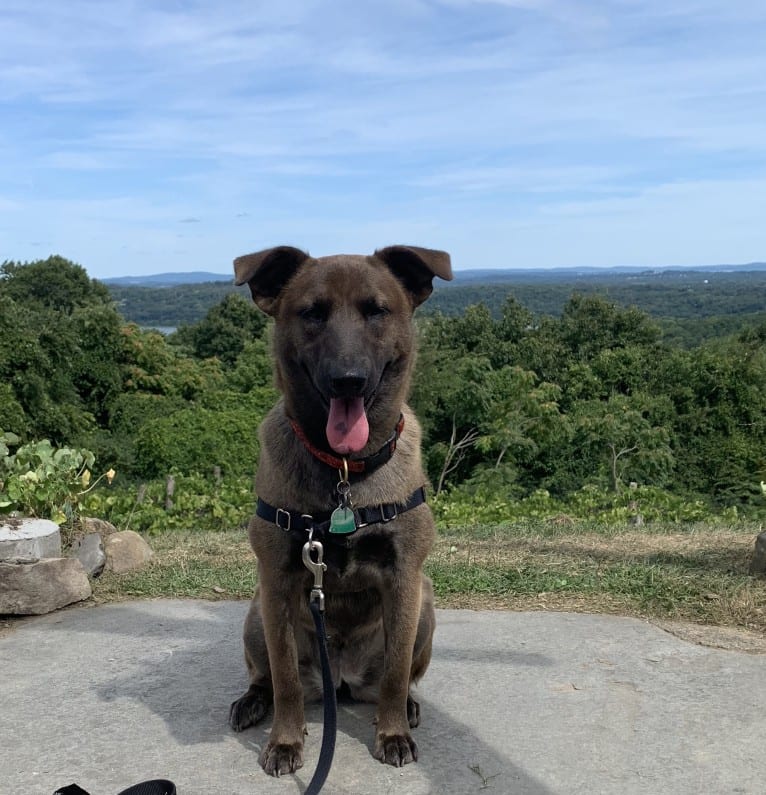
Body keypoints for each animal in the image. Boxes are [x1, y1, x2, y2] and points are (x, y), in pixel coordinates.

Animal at [231, 244, 452, 776]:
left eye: (377, 310)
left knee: (397, 677)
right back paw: (253, 700)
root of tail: (342, 681)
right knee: (266, 677)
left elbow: (395, 673)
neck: (344, 472)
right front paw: (286, 741)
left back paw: (406, 706)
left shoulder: (404, 578)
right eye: (312, 313)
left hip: (425, 605)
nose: (347, 380)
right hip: (255, 614)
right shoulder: (276, 581)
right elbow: (286, 680)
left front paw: (391, 732)